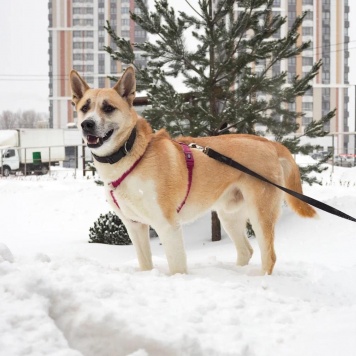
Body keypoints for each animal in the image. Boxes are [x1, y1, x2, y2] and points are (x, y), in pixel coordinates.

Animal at [70, 66, 318, 276]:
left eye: (108, 108)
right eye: (84, 108)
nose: (87, 124)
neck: (131, 156)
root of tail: (269, 143)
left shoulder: (167, 225)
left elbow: (177, 268)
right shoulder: (135, 226)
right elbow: (145, 264)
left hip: (260, 212)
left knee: (269, 256)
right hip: (229, 214)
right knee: (246, 250)